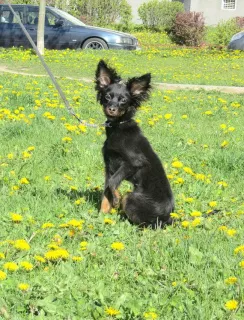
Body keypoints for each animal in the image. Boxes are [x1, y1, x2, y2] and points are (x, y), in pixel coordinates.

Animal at [95, 58, 173, 226]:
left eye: (124, 100)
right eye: (107, 96)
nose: (111, 109)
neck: (118, 127)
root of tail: (169, 217)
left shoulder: (134, 162)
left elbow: (112, 183)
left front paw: (116, 199)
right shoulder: (109, 166)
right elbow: (106, 191)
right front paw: (101, 216)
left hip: (131, 198)